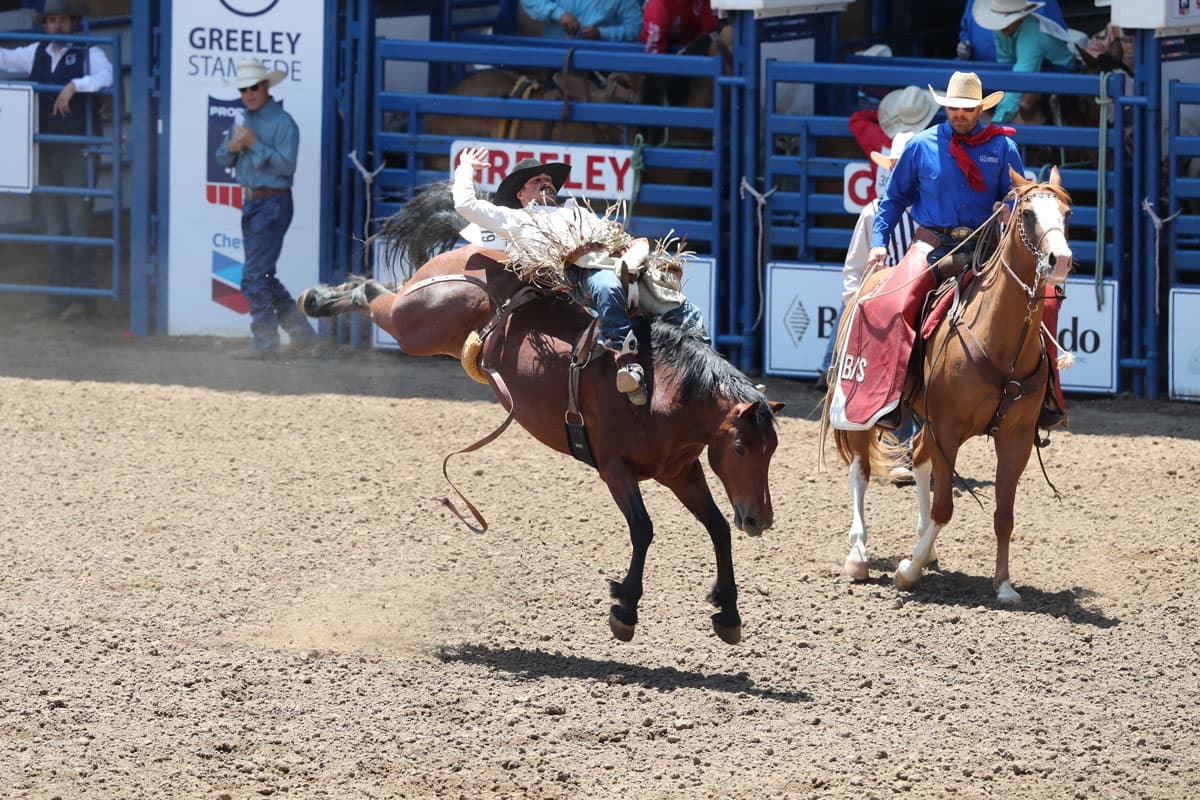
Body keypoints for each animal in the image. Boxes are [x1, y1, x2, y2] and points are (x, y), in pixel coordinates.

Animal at [298, 246, 783, 644]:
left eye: (772, 451)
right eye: (741, 449)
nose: (759, 519)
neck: (664, 388)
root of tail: (468, 254)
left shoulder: (680, 472)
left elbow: (718, 527)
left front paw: (728, 612)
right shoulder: (615, 469)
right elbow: (643, 530)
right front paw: (625, 607)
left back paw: (321, 297)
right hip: (416, 327)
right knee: (374, 295)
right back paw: (317, 299)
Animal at [821, 166, 1073, 605]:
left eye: (1066, 212)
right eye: (1027, 214)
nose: (1061, 260)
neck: (998, 341)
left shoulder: (1016, 437)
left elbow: (1004, 514)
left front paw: (1003, 585)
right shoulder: (948, 429)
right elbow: (944, 509)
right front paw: (907, 571)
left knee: (919, 460)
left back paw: (926, 547)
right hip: (860, 410)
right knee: (860, 472)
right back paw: (858, 555)